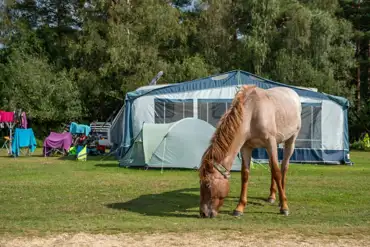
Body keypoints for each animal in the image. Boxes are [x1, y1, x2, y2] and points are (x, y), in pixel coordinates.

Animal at [199, 85, 300, 218]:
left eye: (207, 184)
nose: (203, 213)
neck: (252, 112)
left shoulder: (271, 143)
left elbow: (277, 173)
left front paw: (284, 206)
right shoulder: (246, 148)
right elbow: (245, 175)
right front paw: (239, 208)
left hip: (290, 141)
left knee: (283, 167)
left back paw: (281, 198)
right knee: (272, 167)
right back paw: (272, 196)